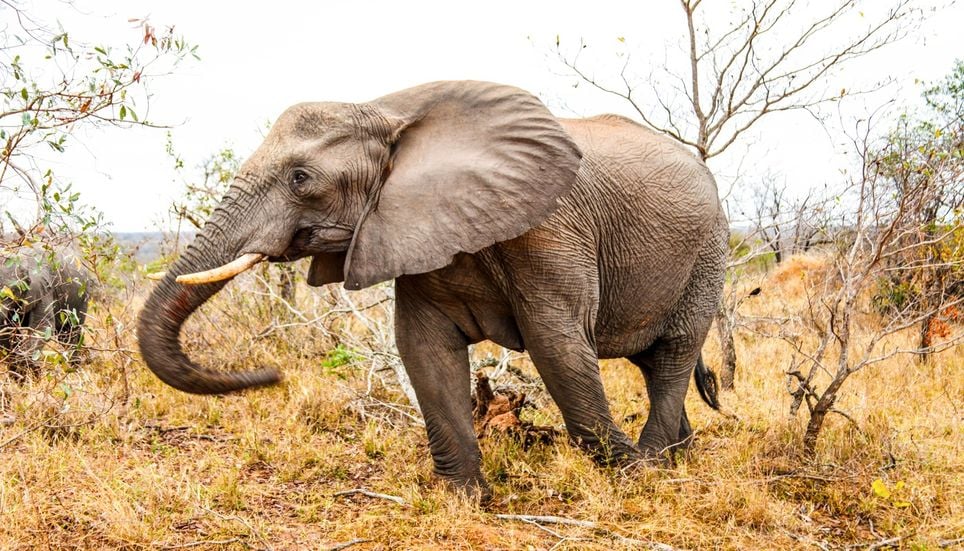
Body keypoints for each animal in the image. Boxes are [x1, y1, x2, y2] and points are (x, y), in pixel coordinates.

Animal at [138, 80, 727, 495]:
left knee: (672, 355)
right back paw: (679, 457)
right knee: (652, 363)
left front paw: (628, 476)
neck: (385, 109)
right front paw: (466, 497)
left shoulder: (551, 228)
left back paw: (655, 466)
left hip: (708, 252)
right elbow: (424, 349)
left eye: (301, 179)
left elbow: (557, 347)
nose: (272, 374)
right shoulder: (414, 228)